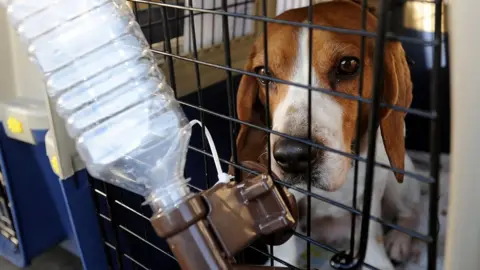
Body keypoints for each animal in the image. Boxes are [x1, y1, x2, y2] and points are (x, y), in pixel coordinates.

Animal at [231, 1, 422, 268]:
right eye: (264, 73)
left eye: (348, 65)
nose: (292, 156)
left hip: (398, 182)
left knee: (411, 214)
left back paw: (400, 241)